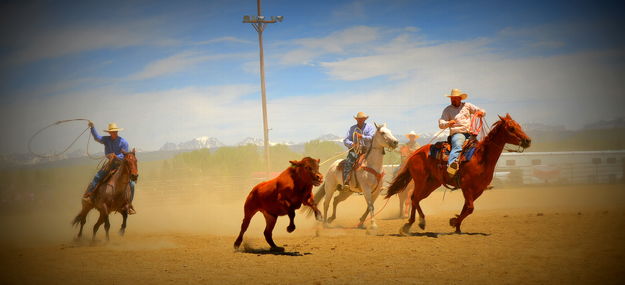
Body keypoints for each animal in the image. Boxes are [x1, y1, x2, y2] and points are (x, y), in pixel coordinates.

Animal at [388, 114, 528, 234]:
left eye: (519, 126)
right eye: (511, 128)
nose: (528, 140)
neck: (481, 157)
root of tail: (415, 153)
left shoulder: (479, 190)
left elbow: (466, 208)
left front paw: (457, 226)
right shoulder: (466, 187)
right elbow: (470, 208)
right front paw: (454, 221)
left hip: (432, 184)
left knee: (416, 199)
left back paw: (410, 224)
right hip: (420, 181)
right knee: (413, 198)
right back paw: (418, 222)